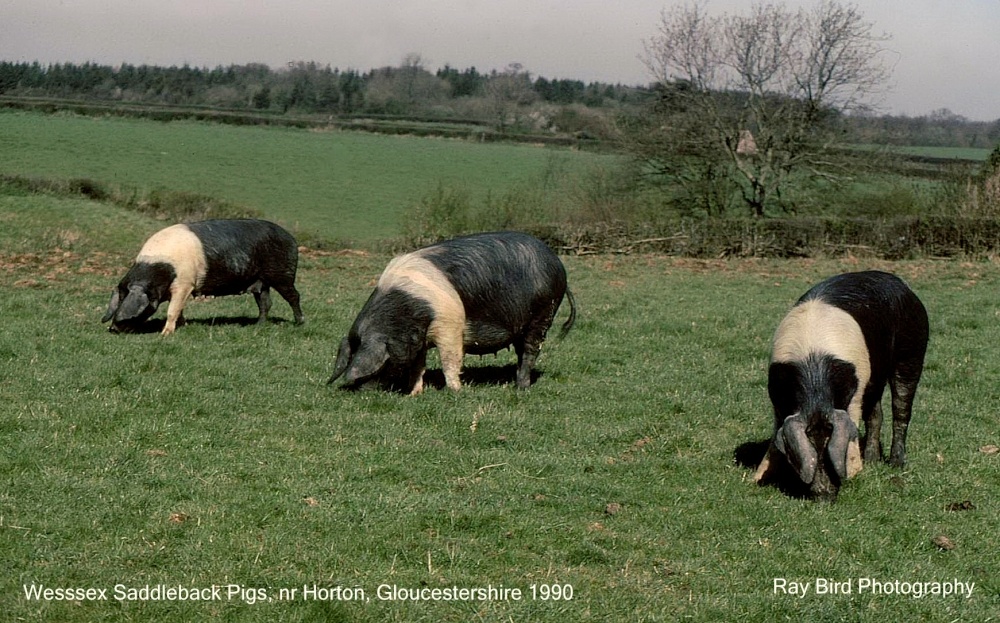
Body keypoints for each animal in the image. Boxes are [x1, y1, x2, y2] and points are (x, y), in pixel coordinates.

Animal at [102, 218, 304, 335]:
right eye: (119, 298)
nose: (113, 329)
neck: (162, 269)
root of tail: (292, 238)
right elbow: (179, 309)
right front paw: (184, 326)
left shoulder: (185, 283)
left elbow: (172, 310)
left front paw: (165, 335)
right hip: (260, 282)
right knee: (265, 303)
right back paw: (257, 326)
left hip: (283, 274)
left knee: (294, 296)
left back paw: (299, 323)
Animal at [328, 231, 576, 394]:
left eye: (380, 364)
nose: (362, 392)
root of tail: (558, 264)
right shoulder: (418, 337)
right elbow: (418, 365)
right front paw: (414, 393)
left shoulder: (450, 324)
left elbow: (450, 358)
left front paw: (456, 391)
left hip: (543, 313)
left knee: (531, 350)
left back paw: (520, 388)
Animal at [753, 270, 929, 501]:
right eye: (810, 444)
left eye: (829, 447)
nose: (825, 498)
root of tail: (903, 284)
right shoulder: (777, 397)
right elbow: (776, 434)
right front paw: (757, 479)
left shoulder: (854, 391)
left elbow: (853, 420)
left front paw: (854, 473)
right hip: (875, 377)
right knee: (876, 415)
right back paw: (872, 461)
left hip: (912, 351)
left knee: (901, 411)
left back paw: (896, 464)